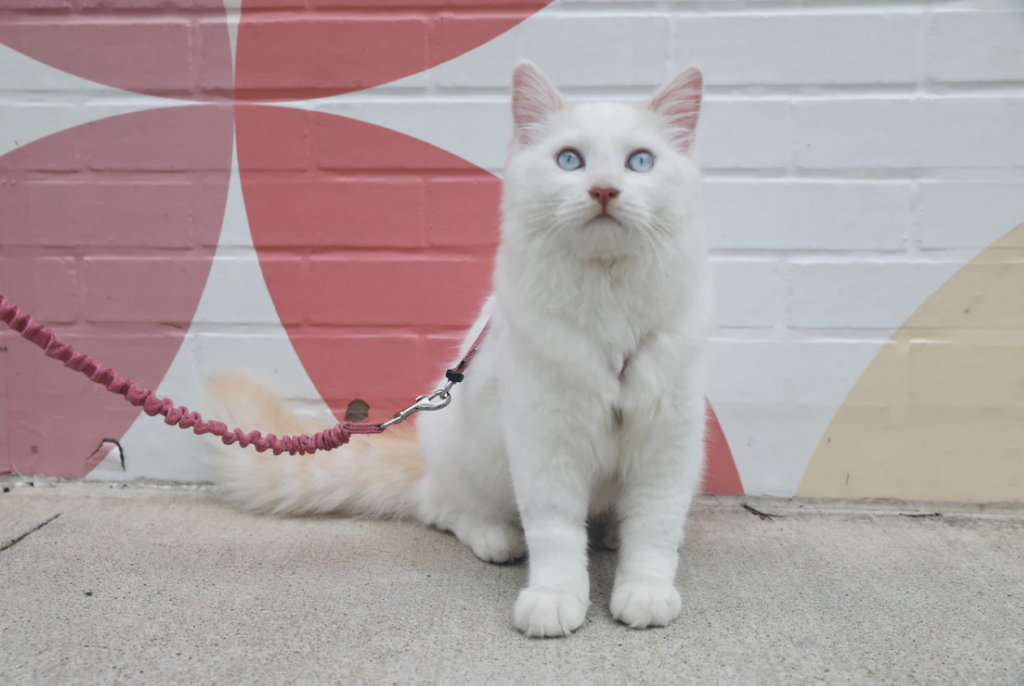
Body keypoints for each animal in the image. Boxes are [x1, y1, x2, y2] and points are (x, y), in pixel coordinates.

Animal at [209, 60, 712, 638]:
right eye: (570, 160)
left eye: (640, 162)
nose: (604, 190)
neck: (609, 299)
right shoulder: (547, 439)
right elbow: (557, 534)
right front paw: (555, 598)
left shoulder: (668, 439)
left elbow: (653, 530)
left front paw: (645, 590)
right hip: (470, 459)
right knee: (444, 509)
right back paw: (498, 538)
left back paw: (608, 532)